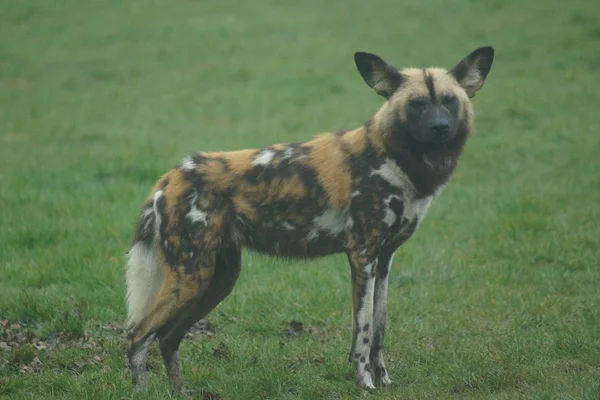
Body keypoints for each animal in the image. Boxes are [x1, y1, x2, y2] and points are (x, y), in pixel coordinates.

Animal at [125, 46, 492, 390]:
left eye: (449, 101)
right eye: (417, 104)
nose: (440, 127)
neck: (397, 159)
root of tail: (170, 176)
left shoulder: (384, 259)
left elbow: (380, 327)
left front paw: (384, 381)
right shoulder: (363, 257)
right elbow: (363, 332)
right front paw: (366, 384)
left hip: (216, 280)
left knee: (167, 338)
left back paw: (180, 391)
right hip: (191, 277)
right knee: (138, 337)